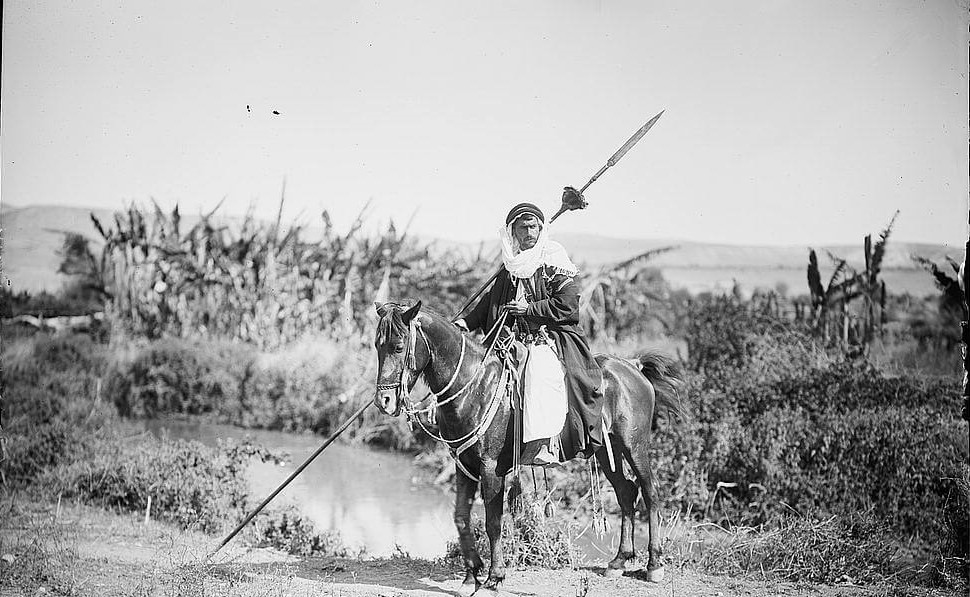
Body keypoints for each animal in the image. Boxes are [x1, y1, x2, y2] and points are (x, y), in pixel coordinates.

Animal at [368, 300, 680, 592]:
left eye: (398, 347)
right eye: (377, 346)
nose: (383, 402)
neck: (473, 386)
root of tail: (633, 366)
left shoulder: (491, 469)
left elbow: (493, 523)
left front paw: (495, 577)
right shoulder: (464, 465)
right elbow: (461, 518)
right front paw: (471, 576)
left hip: (634, 446)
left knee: (650, 491)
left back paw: (654, 565)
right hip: (606, 449)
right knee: (626, 492)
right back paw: (619, 560)